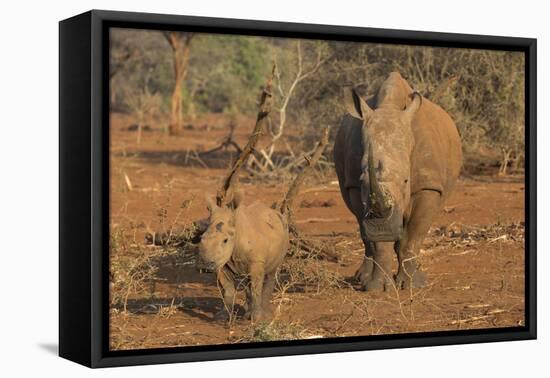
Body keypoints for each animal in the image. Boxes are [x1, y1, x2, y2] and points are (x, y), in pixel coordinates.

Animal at [198, 192, 288, 322]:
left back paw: (266, 315)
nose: (204, 265)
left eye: (225, 240)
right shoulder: (221, 263)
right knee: (247, 281)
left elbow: (256, 288)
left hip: (284, 234)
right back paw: (247, 313)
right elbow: (228, 289)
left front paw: (257, 319)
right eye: (201, 238)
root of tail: (274, 212)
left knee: (271, 273)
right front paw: (222, 316)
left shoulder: (256, 261)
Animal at [334, 71, 464, 290]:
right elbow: (377, 243)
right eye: (362, 179)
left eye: (406, 181)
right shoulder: (354, 186)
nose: (383, 229)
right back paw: (362, 278)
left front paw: (413, 285)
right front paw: (377, 288)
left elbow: (412, 237)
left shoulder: (428, 186)